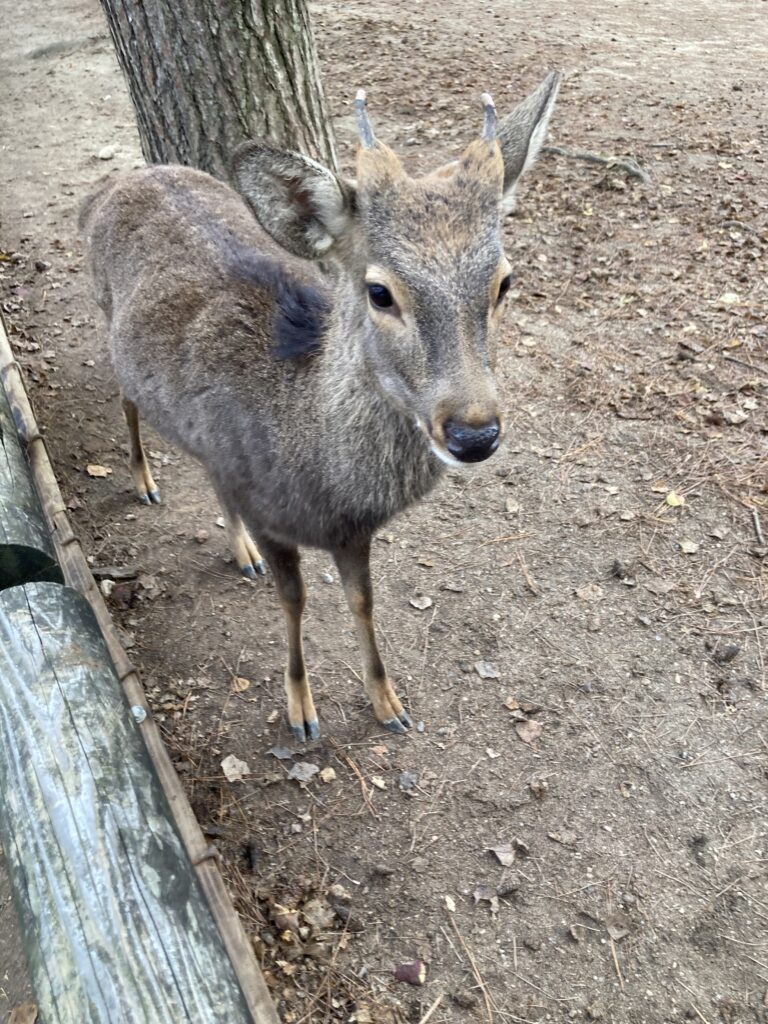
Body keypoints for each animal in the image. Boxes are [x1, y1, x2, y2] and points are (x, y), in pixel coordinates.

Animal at [80, 72, 560, 743]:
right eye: (380, 291)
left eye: (504, 282)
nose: (474, 433)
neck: (325, 489)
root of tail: (110, 185)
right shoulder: (274, 517)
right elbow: (296, 601)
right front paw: (301, 711)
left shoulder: (351, 533)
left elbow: (362, 602)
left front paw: (388, 702)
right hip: (106, 318)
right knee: (125, 398)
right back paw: (145, 482)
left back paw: (238, 550)